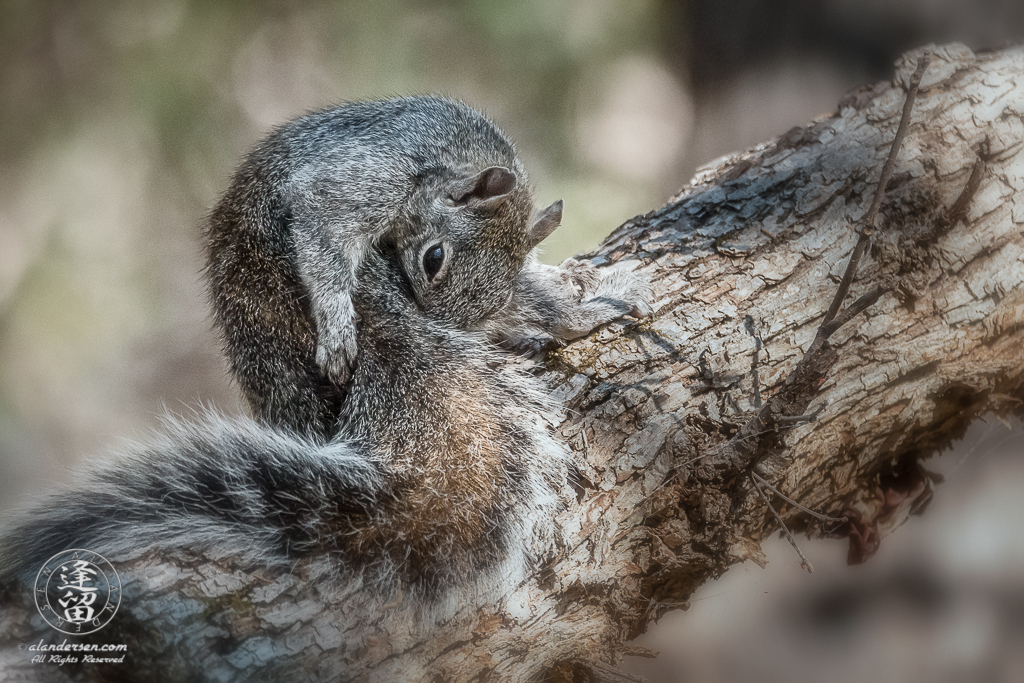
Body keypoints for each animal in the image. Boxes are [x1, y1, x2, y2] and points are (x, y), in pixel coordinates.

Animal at [0, 94, 651, 610]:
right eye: (434, 258)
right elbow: (323, 232)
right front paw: (338, 322)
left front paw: (562, 312)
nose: (449, 325)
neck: (450, 153)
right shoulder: (368, 180)